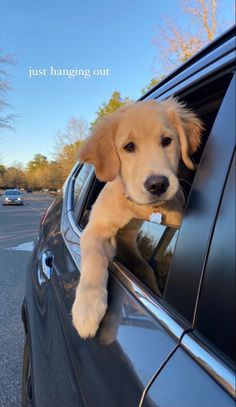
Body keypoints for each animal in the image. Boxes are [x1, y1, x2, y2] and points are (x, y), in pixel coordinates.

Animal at [72, 98, 203, 338]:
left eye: (167, 141)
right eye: (129, 147)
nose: (158, 184)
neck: (138, 207)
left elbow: (144, 265)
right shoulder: (97, 228)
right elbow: (95, 257)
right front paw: (87, 308)